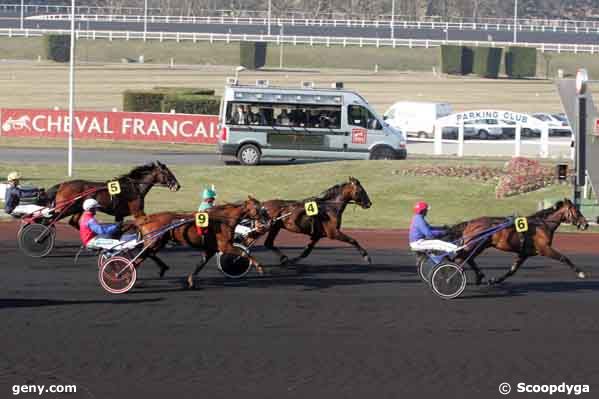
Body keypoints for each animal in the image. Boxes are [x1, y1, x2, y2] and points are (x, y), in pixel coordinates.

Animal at [42, 159, 180, 228]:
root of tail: (63, 184)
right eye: (167, 173)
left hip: (78, 208)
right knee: (50, 220)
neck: (134, 187)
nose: (177, 185)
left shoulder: (119, 215)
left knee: (72, 222)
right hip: (66, 207)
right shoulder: (138, 212)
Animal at [135, 196, 270, 288]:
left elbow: (200, 264)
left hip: (158, 242)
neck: (223, 221)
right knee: (140, 258)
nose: (268, 218)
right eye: (258, 207)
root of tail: (146, 219)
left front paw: (190, 281)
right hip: (154, 242)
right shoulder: (225, 246)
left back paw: (160, 269)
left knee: (148, 255)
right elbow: (244, 253)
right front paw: (260, 268)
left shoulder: (211, 249)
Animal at [450, 198, 592, 286]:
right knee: (463, 258)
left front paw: (495, 280)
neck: (542, 224)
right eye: (577, 211)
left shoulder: (524, 254)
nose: (586, 224)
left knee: (467, 258)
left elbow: (512, 270)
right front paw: (581, 273)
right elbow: (564, 258)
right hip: (477, 245)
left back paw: (478, 276)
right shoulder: (544, 249)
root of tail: (470, 223)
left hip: (478, 246)